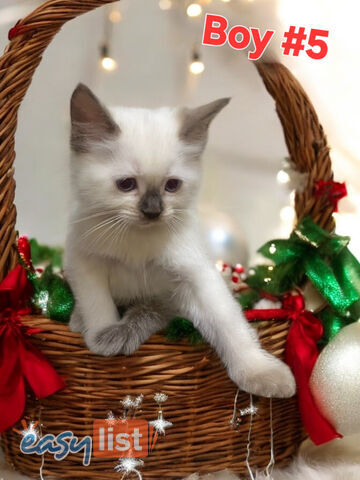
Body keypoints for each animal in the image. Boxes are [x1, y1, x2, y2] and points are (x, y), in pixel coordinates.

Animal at [64, 85, 296, 398]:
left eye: (172, 185)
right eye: (126, 184)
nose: (153, 212)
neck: (138, 241)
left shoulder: (196, 277)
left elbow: (230, 326)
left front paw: (260, 373)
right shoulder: (85, 262)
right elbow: (98, 306)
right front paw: (103, 336)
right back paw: (79, 320)